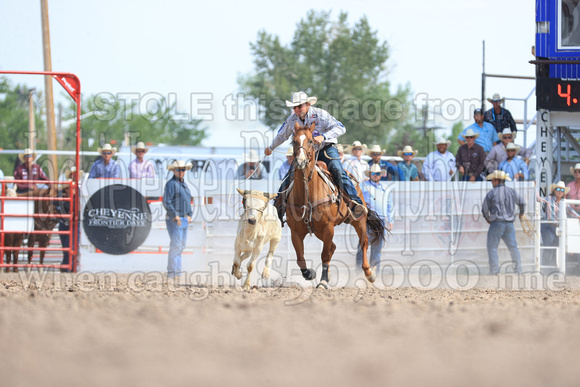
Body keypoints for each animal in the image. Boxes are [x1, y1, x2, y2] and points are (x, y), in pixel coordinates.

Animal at [286, 123, 386, 290]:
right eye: (294, 141)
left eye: (311, 141)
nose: (300, 161)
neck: (308, 194)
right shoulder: (296, 231)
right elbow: (300, 257)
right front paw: (310, 274)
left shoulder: (328, 227)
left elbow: (325, 254)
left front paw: (323, 281)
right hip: (319, 230)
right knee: (332, 246)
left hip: (358, 220)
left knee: (363, 242)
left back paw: (369, 273)